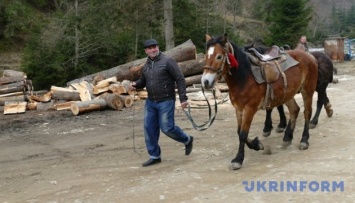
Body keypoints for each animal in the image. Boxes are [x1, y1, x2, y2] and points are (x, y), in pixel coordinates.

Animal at [203, 33, 320, 170]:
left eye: (219, 56)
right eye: (206, 56)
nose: (205, 82)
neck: (244, 78)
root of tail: (309, 56)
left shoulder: (249, 109)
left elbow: (242, 134)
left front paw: (238, 159)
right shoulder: (239, 109)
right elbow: (239, 132)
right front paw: (257, 145)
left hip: (307, 91)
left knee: (307, 113)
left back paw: (304, 140)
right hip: (288, 94)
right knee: (295, 110)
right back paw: (287, 137)